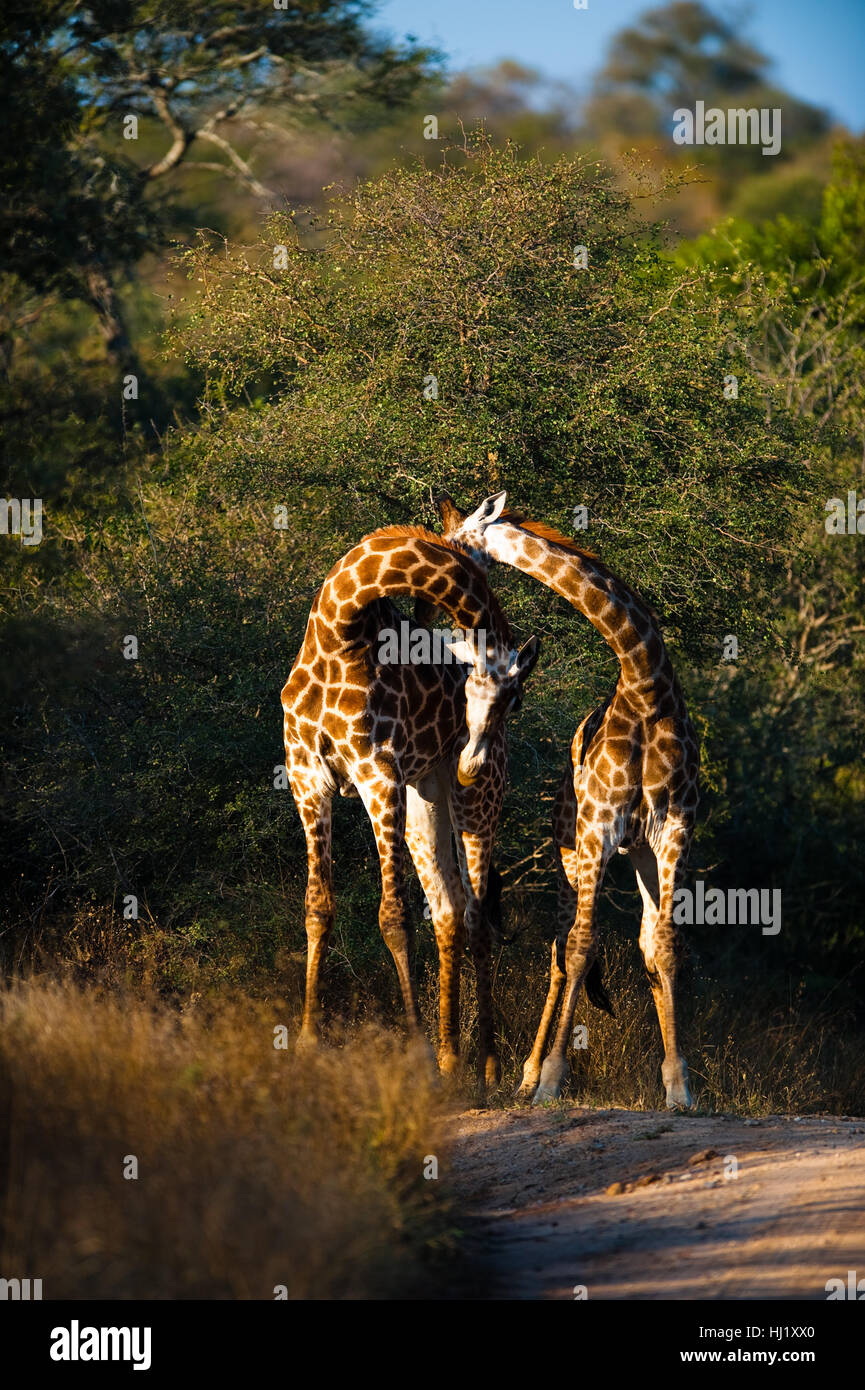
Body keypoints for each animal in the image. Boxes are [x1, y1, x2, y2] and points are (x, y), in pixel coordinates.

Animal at [283, 522, 542, 1084]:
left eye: (512, 703)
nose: (470, 763)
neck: (338, 628)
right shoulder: (305, 779)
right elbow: (317, 906)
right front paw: (308, 1041)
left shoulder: (377, 775)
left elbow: (393, 916)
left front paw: (417, 1052)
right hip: (426, 800)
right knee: (448, 910)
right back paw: (451, 1057)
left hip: (477, 807)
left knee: (476, 916)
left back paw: (487, 1064)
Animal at [436, 489, 700, 1106]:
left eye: (455, 542)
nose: (436, 563)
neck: (647, 688)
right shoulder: (597, 827)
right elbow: (579, 947)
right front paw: (553, 1079)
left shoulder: (673, 830)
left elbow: (665, 946)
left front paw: (679, 1087)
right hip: (569, 850)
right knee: (560, 950)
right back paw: (530, 1075)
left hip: (638, 853)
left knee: (645, 943)